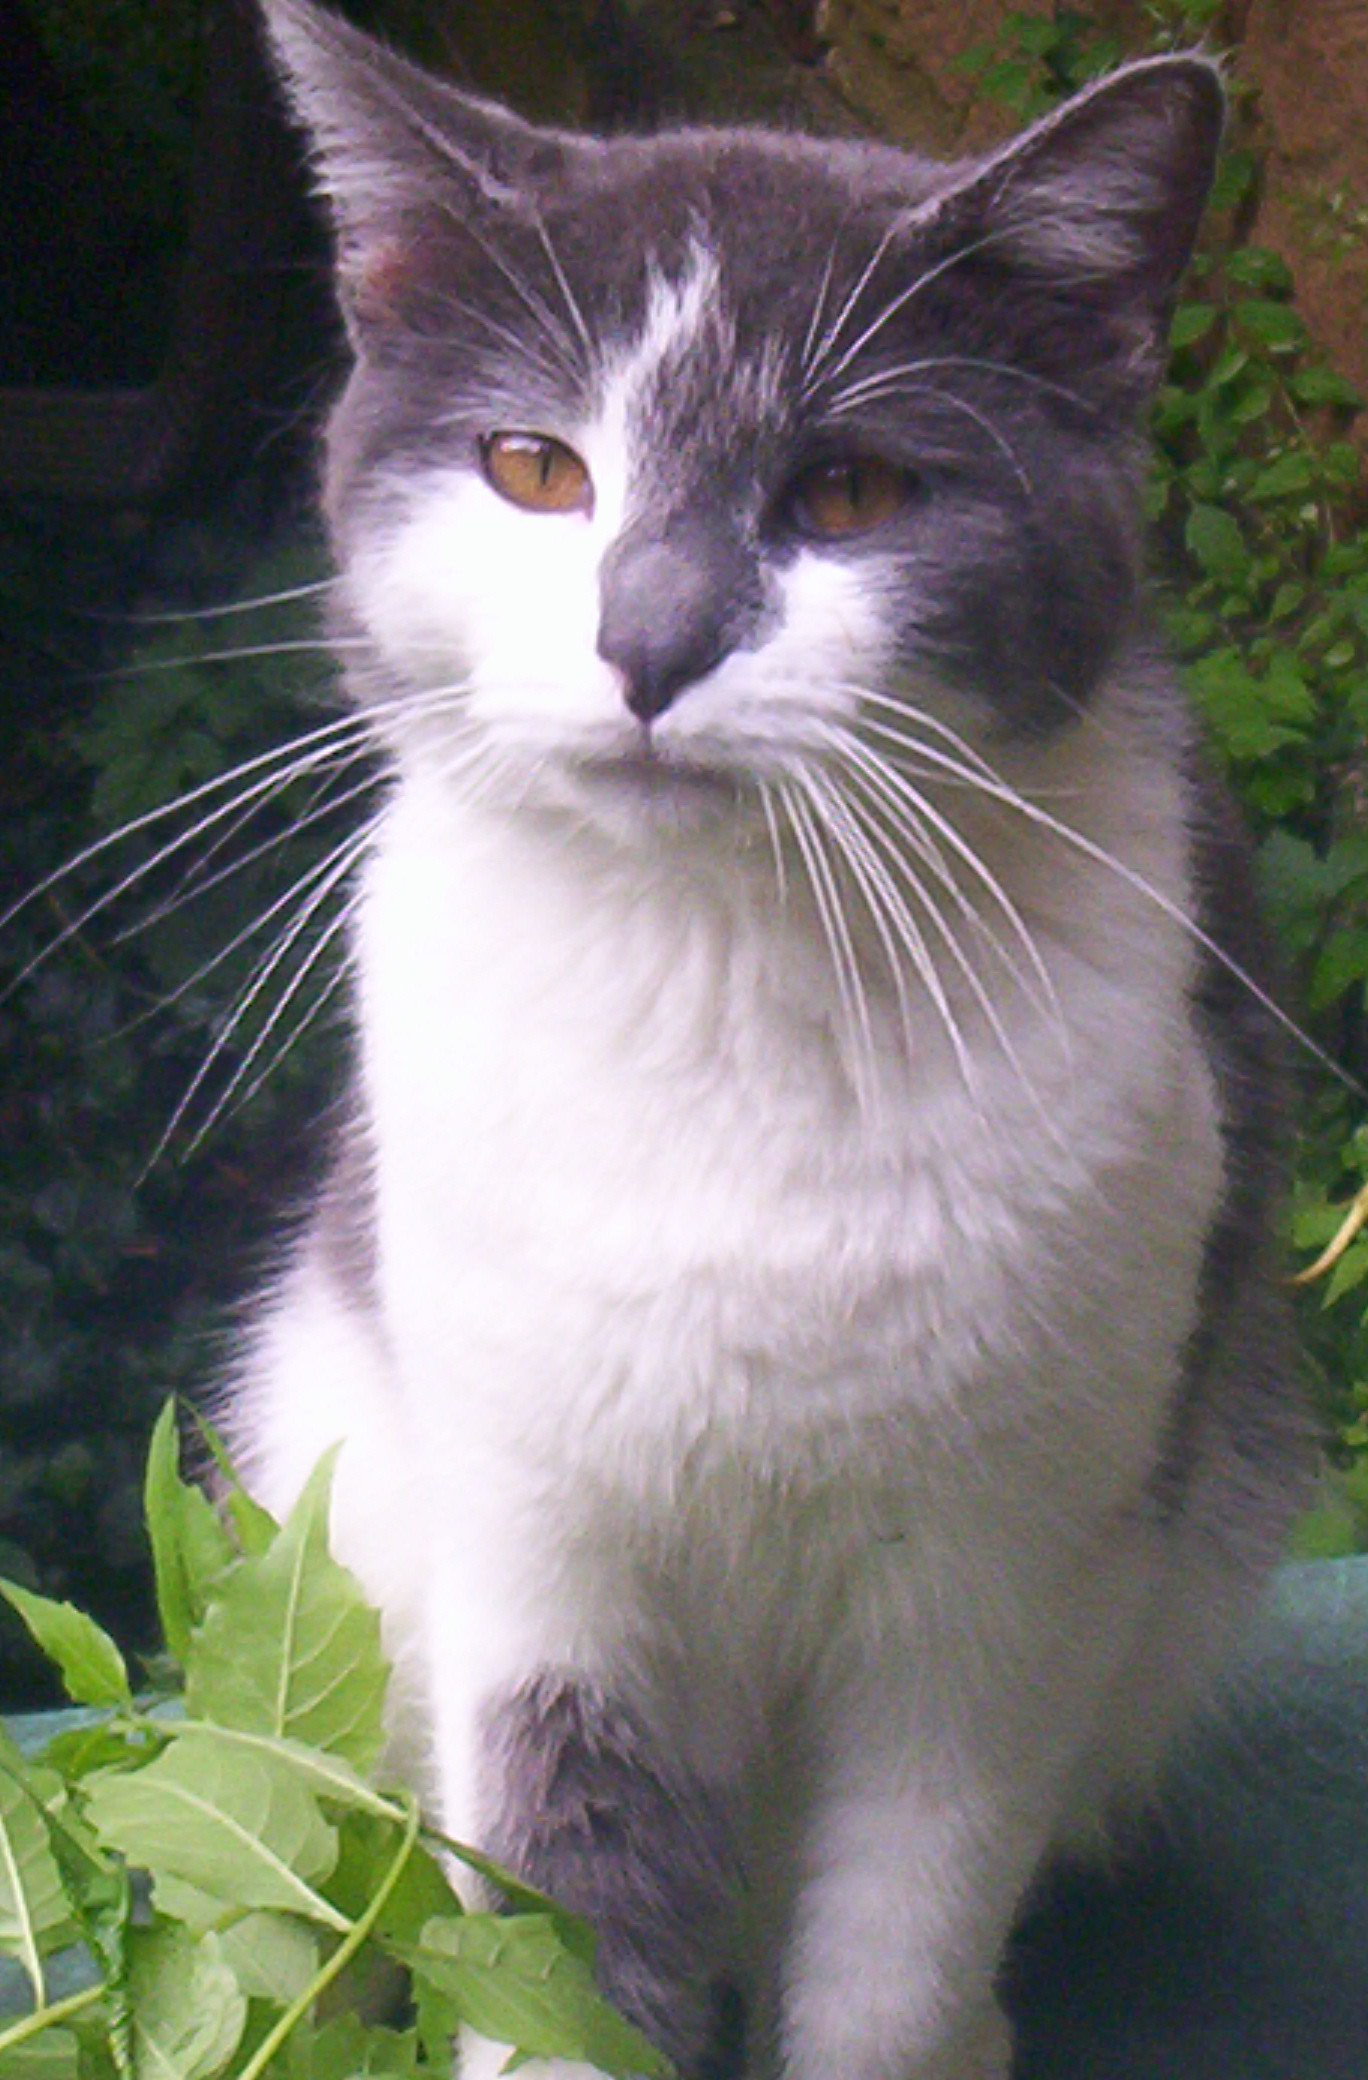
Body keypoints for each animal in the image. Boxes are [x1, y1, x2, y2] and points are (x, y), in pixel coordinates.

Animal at [231, 4, 1297, 2080]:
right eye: (530, 468)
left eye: (852, 496)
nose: (648, 644)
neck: (720, 984)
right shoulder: (546, 1555)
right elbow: (562, 1924)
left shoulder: (1001, 1597)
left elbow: (898, 1948)